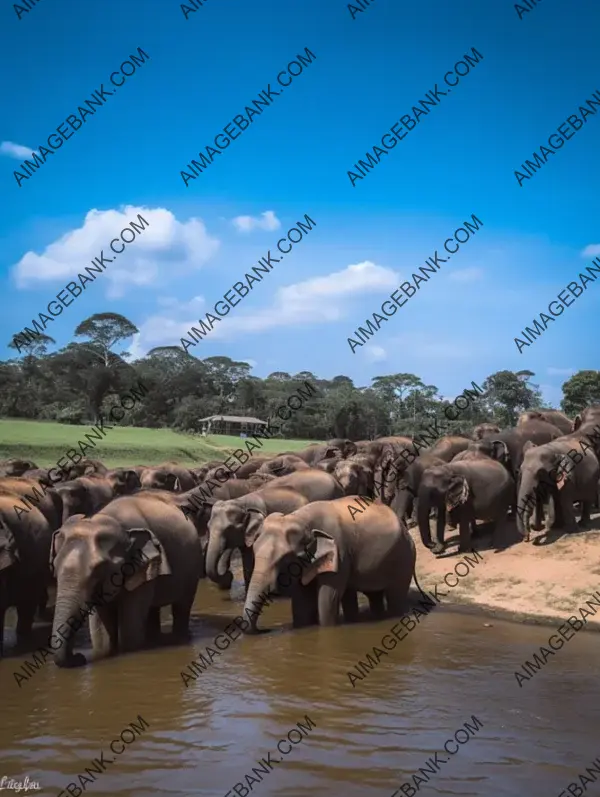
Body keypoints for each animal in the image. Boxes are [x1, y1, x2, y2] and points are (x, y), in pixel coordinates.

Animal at [49, 492, 204, 664]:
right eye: (54, 565)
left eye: (98, 568)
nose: (79, 657)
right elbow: (102, 635)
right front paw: (104, 652)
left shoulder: (141, 568)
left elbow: (130, 633)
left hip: (192, 567)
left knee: (182, 605)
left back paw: (180, 638)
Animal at [241, 498, 420, 636]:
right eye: (254, 550)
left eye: (284, 559)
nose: (265, 630)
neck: (300, 518)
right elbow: (302, 602)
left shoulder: (339, 553)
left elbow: (328, 599)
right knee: (372, 595)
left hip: (403, 558)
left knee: (395, 596)